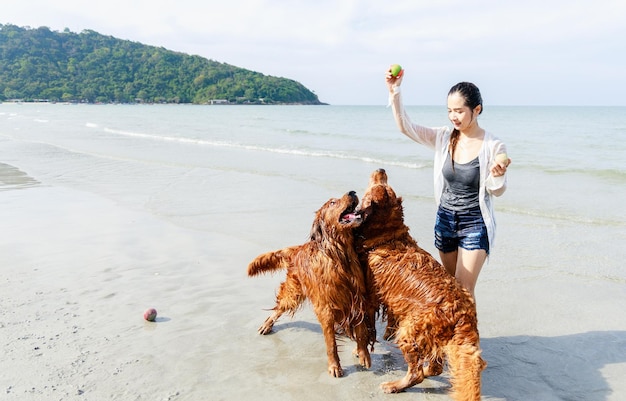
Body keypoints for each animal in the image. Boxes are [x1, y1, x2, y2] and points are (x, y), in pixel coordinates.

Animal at [246, 191, 372, 378]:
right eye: (333, 202)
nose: (352, 192)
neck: (339, 256)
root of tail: (298, 248)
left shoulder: (357, 299)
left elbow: (362, 331)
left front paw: (364, 354)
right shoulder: (325, 308)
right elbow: (331, 343)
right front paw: (334, 366)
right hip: (293, 292)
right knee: (279, 308)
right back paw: (267, 324)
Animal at [354, 169, 486, 400]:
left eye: (380, 184)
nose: (381, 171)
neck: (387, 237)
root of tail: (463, 312)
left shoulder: (370, 296)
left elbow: (365, 326)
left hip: (410, 331)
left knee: (416, 373)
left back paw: (395, 385)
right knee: (434, 367)